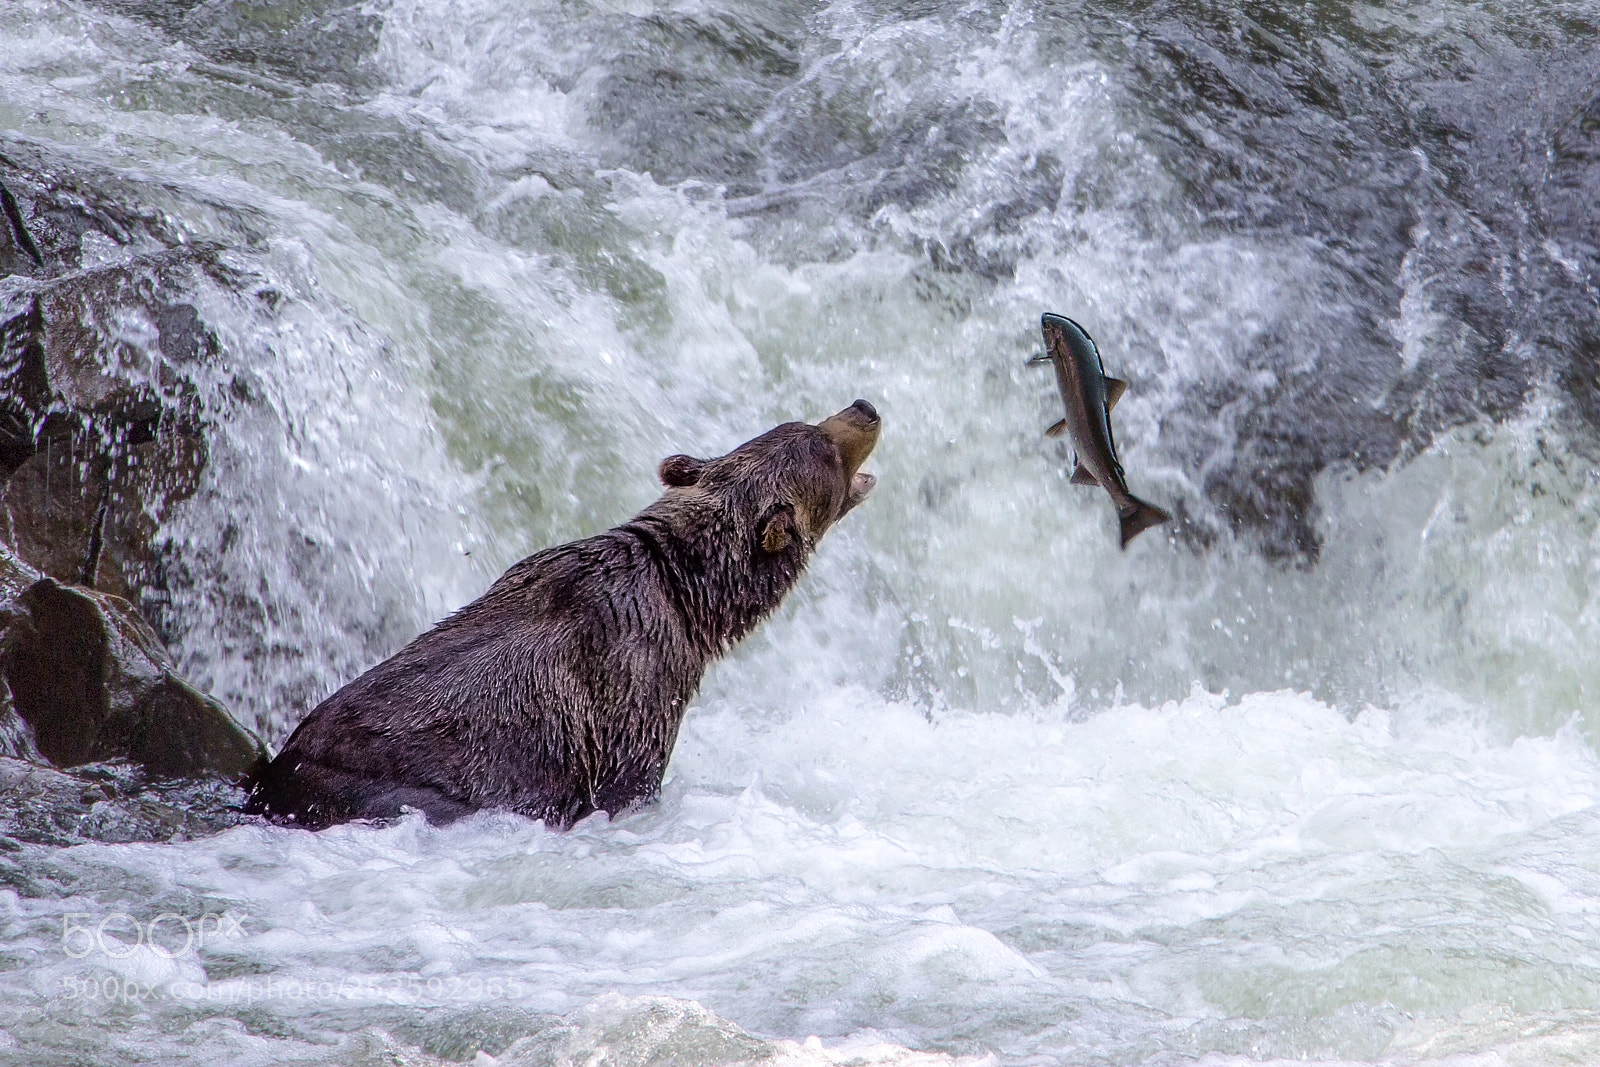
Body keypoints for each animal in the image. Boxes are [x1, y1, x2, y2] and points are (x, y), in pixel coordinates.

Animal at [243, 399, 881, 830]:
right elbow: (627, 783)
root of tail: (272, 791)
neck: (684, 593)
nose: (865, 408)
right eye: (824, 450)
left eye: (800, 423)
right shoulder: (635, 689)